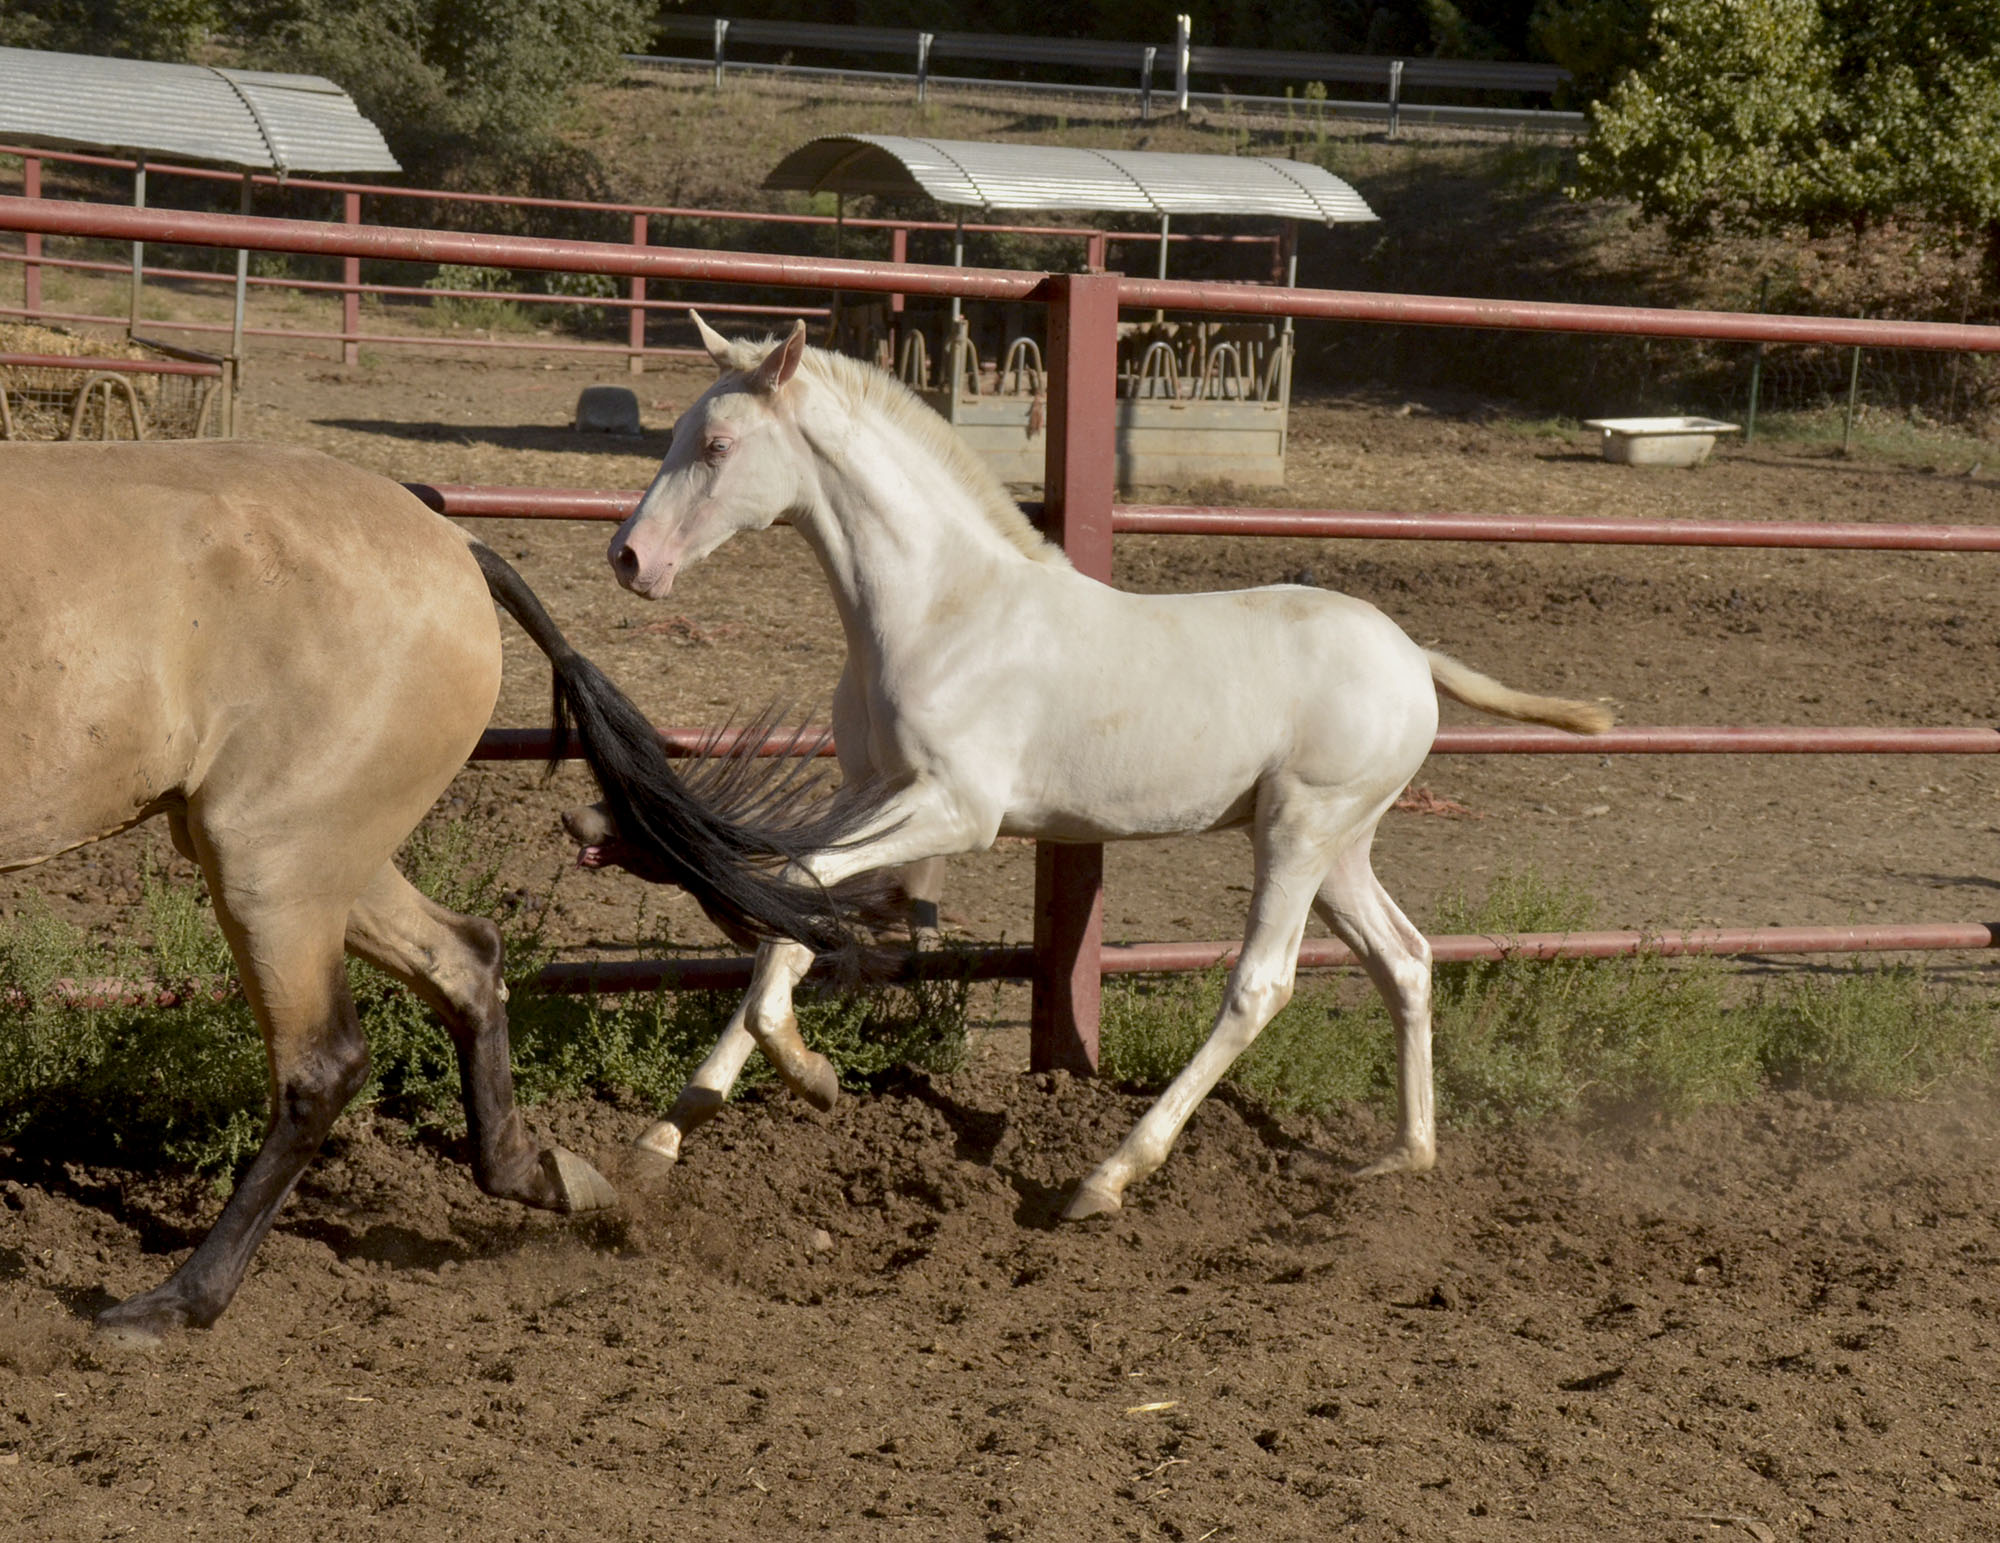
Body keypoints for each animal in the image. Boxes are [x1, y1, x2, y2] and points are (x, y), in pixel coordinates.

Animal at [0, 437, 892, 1335]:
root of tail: (457, 544)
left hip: (268, 858)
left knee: (324, 1064)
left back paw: (177, 1302)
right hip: (325, 854)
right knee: (466, 958)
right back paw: (548, 1175)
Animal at [596, 319, 1608, 1223]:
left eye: (718, 445)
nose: (630, 557)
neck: (944, 611)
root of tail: (1413, 657)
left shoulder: (957, 810)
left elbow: (797, 888)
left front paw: (809, 1074)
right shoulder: (868, 792)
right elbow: (792, 910)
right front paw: (667, 1134)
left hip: (1300, 829)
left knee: (1262, 986)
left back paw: (1106, 1178)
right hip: (1340, 846)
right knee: (1405, 957)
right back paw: (1405, 1154)